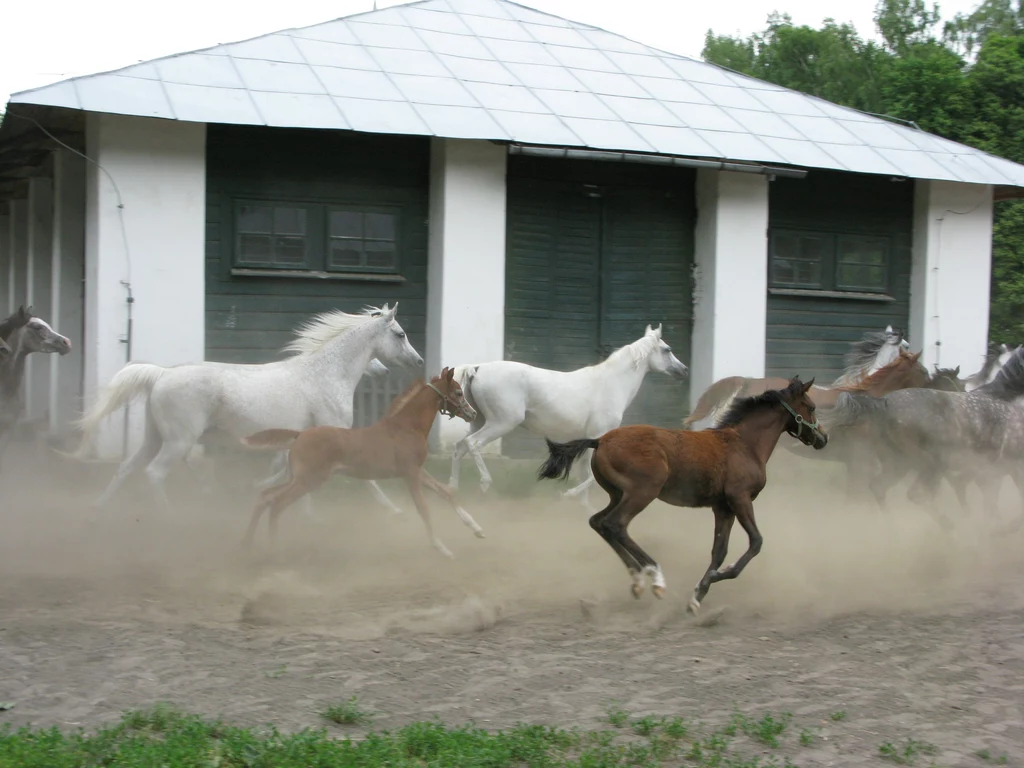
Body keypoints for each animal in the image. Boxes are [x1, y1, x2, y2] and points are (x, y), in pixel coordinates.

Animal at [72, 303, 421, 514]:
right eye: (400, 334)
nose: (417, 361)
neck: (326, 373)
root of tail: (161, 374)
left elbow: (290, 473)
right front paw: (394, 509)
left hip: (155, 437)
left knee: (126, 468)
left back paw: (98, 511)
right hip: (178, 441)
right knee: (154, 473)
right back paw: (170, 516)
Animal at [243, 368, 487, 561]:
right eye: (458, 392)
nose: (473, 413)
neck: (406, 428)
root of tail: (299, 435)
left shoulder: (418, 471)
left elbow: (446, 492)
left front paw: (478, 530)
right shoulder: (410, 474)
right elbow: (424, 509)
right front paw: (442, 548)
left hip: (300, 478)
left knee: (265, 496)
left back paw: (247, 544)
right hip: (308, 480)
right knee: (277, 504)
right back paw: (275, 551)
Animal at [448, 325, 688, 512]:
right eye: (667, 349)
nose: (684, 370)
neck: (611, 384)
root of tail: (477, 369)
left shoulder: (588, 440)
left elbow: (585, 473)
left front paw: (583, 507)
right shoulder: (599, 436)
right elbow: (591, 476)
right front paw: (568, 495)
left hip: (479, 421)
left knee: (460, 447)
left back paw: (454, 491)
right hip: (502, 422)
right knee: (473, 444)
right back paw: (484, 485)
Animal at [540, 380, 827, 618]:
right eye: (811, 407)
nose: (823, 438)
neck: (744, 444)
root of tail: (600, 440)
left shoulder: (722, 507)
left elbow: (719, 551)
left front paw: (697, 596)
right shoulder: (741, 499)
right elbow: (755, 542)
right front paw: (720, 575)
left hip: (617, 494)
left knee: (598, 522)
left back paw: (637, 581)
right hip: (642, 492)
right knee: (616, 524)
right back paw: (655, 578)